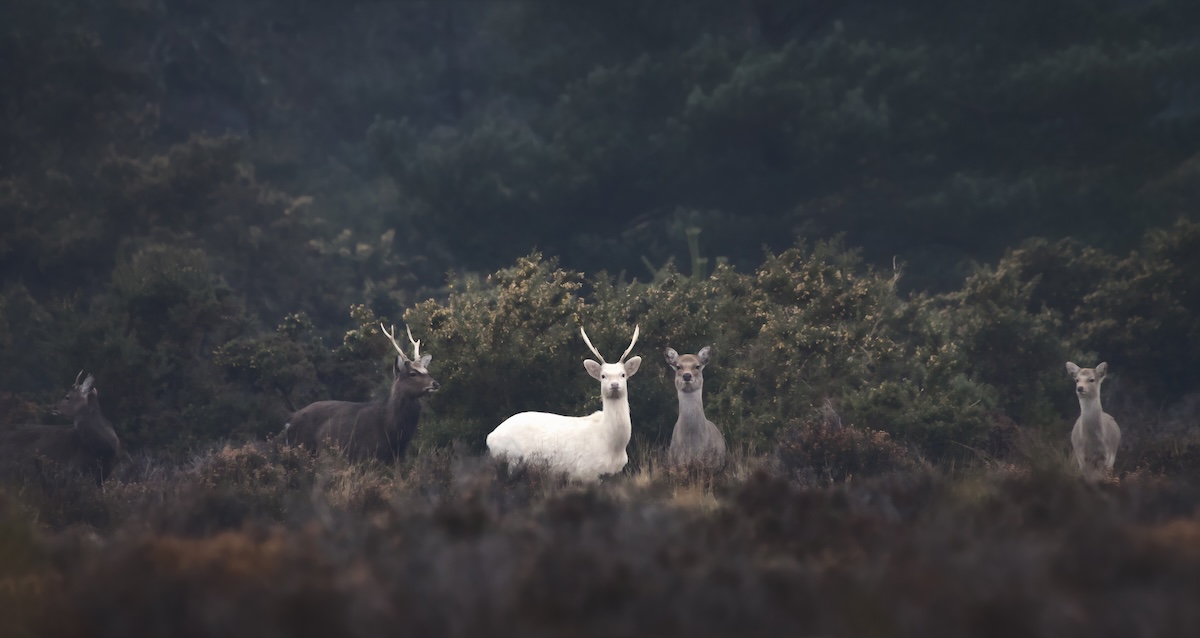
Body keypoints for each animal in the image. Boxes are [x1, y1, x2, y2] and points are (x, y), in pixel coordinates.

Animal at [283, 323, 439, 463]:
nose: (435, 384)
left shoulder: (397, 458)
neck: (391, 430)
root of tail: (290, 420)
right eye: (413, 373)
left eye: (427, 371)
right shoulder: (365, 453)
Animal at [486, 325, 642, 482]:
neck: (613, 446)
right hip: (510, 460)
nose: (614, 385)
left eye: (623, 374)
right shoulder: (585, 473)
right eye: (603, 376)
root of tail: (490, 437)